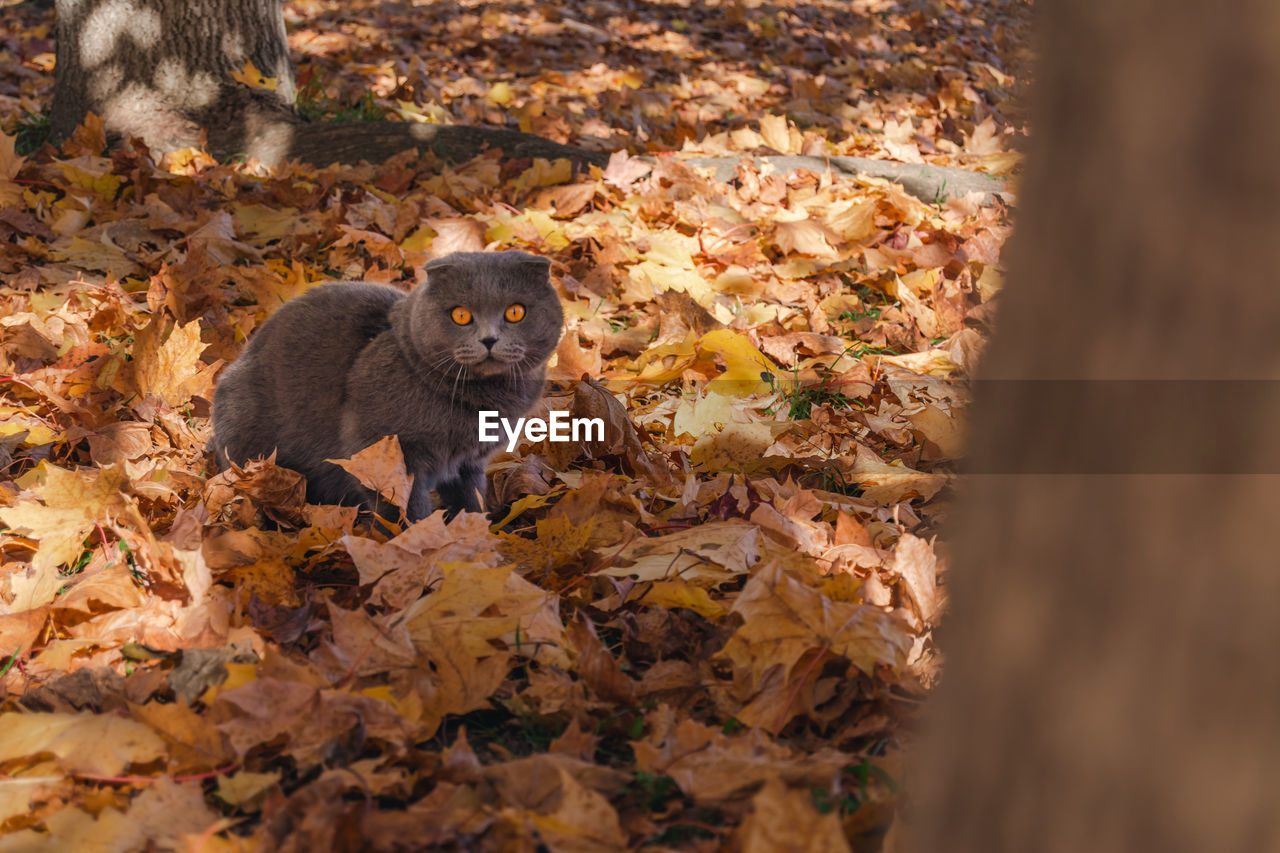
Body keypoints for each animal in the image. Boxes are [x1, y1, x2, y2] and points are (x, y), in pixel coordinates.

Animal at [208, 249, 560, 522]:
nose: (489, 339)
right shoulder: (383, 453)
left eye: (515, 312)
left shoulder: (469, 461)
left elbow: (470, 500)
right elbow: (403, 509)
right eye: (460, 315)